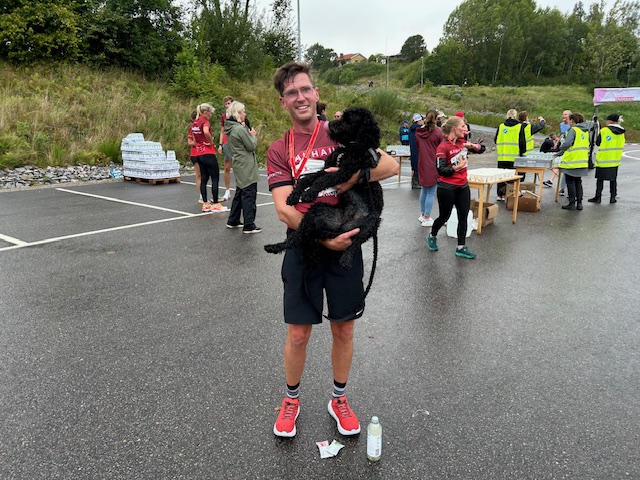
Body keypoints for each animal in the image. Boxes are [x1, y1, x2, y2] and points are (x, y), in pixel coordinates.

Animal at [264, 107, 384, 276]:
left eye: (349, 120)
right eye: (342, 116)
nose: (330, 124)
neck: (350, 148)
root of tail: (341, 228)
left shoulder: (343, 172)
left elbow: (322, 181)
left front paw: (309, 193)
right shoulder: (326, 168)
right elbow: (307, 179)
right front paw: (294, 195)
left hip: (372, 222)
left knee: (355, 242)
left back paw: (346, 260)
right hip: (318, 211)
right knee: (297, 238)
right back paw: (274, 246)